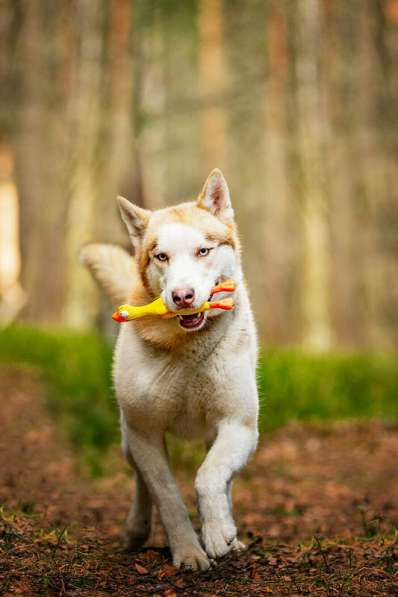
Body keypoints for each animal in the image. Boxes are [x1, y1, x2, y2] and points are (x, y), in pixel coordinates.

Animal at [82, 170, 260, 572]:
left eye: (203, 251)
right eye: (161, 256)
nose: (182, 296)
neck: (188, 349)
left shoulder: (239, 424)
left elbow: (209, 476)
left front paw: (217, 533)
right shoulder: (144, 432)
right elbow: (166, 496)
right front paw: (189, 552)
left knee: (221, 478)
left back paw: (230, 533)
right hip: (128, 438)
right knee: (140, 481)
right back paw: (136, 530)